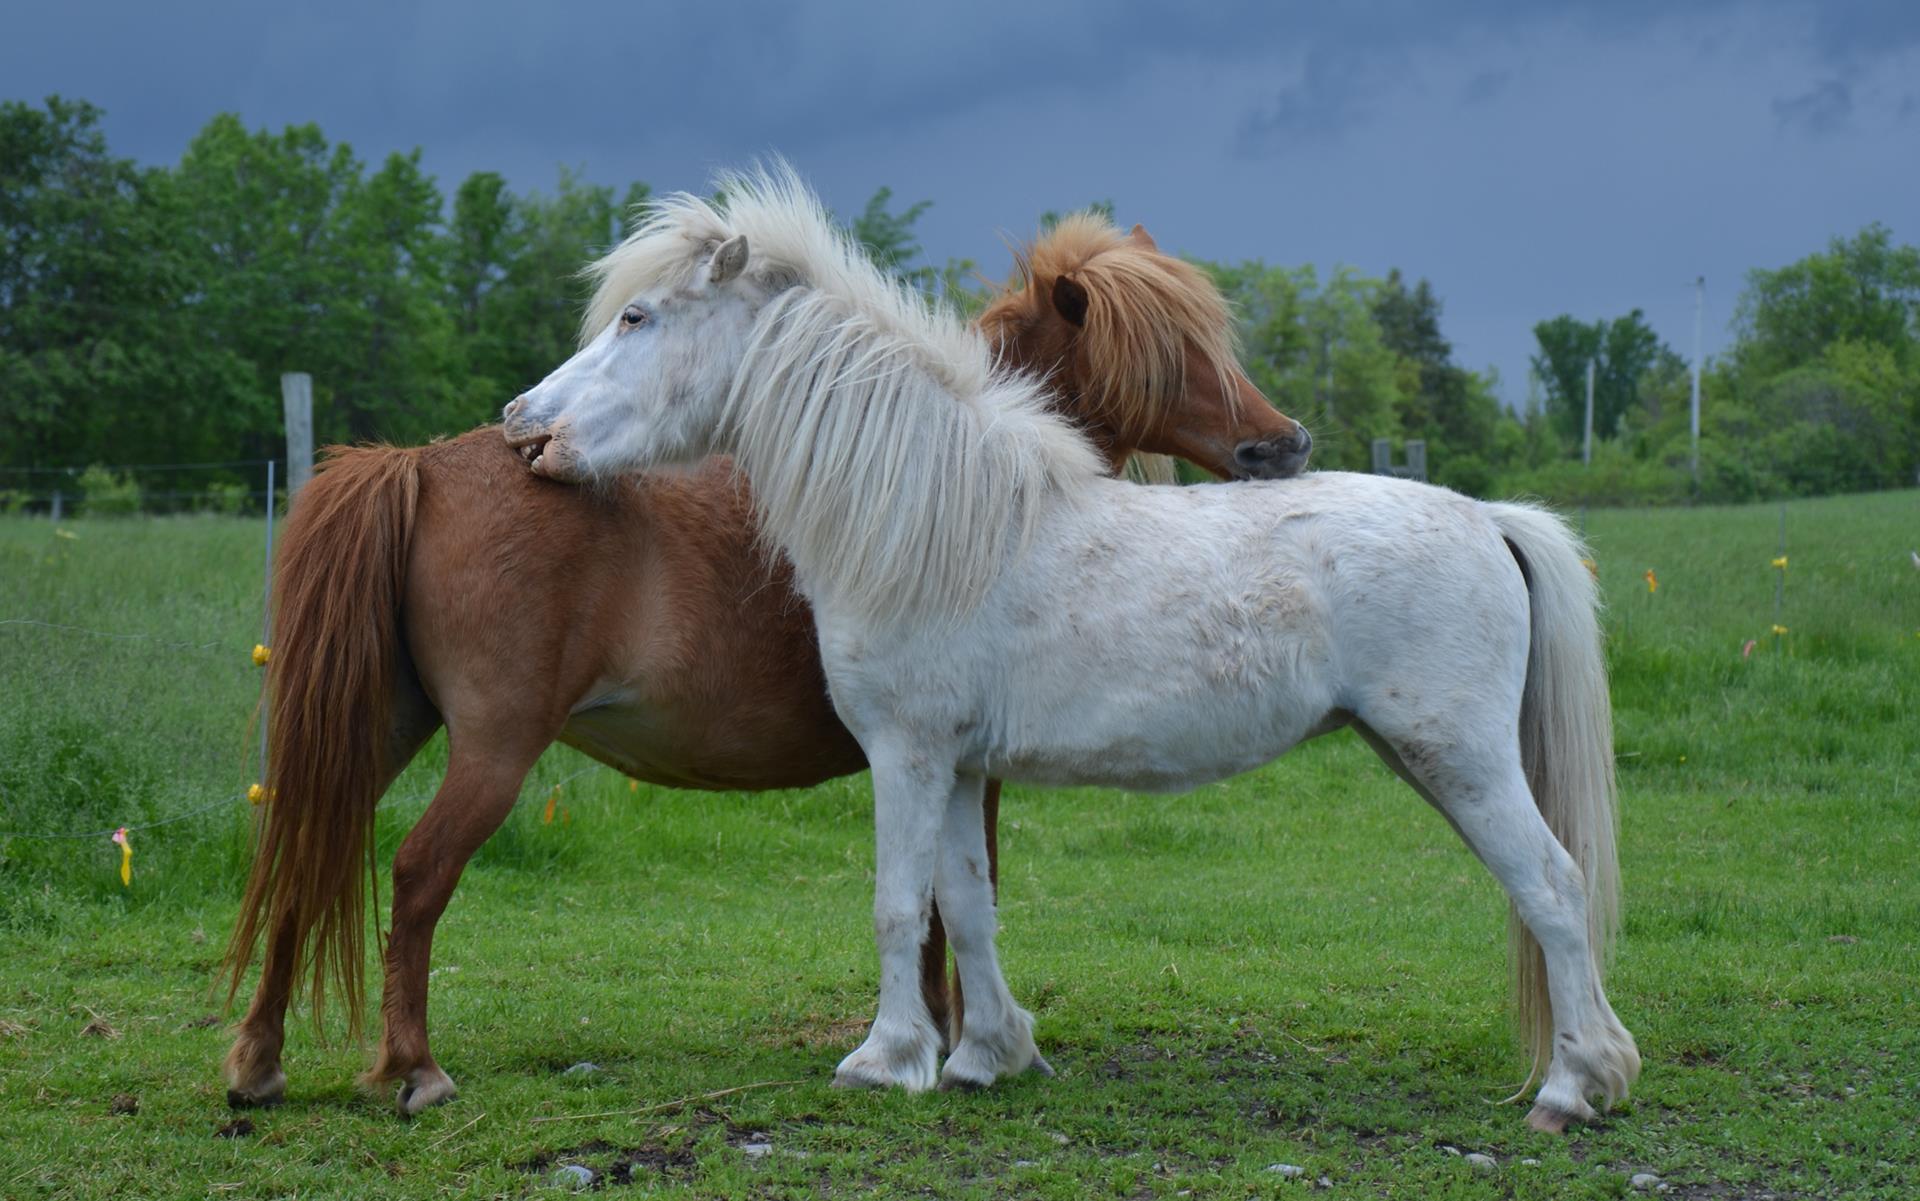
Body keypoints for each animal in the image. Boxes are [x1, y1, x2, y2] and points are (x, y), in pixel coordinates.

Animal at [501, 165, 1641, 1133]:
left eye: (638, 318)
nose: (523, 425)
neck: (941, 522)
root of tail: (1487, 517)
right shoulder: (960, 766)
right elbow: (966, 906)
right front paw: (987, 1055)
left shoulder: (906, 754)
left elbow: (897, 905)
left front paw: (885, 1059)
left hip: (1462, 757)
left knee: (1553, 886)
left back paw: (1572, 1087)